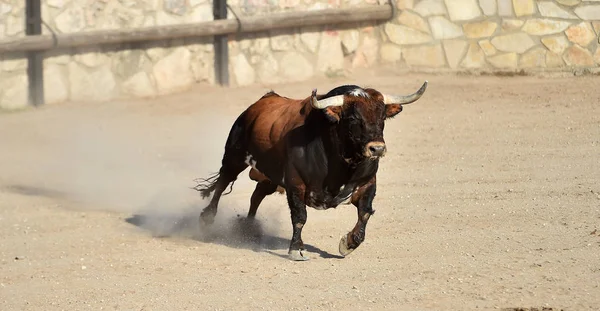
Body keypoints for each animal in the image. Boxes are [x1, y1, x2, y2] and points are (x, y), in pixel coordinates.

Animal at [195, 81, 428, 260]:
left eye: (382, 117)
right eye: (353, 118)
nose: (377, 148)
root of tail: (258, 104)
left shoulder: (368, 183)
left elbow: (365, 213)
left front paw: (349, 243)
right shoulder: (295, 184)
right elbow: (300, 217)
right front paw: (296, 249)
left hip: (270, 176)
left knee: (257, 195)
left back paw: (249, 227)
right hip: (234, 156)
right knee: (223, 181)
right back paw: (208, 217)